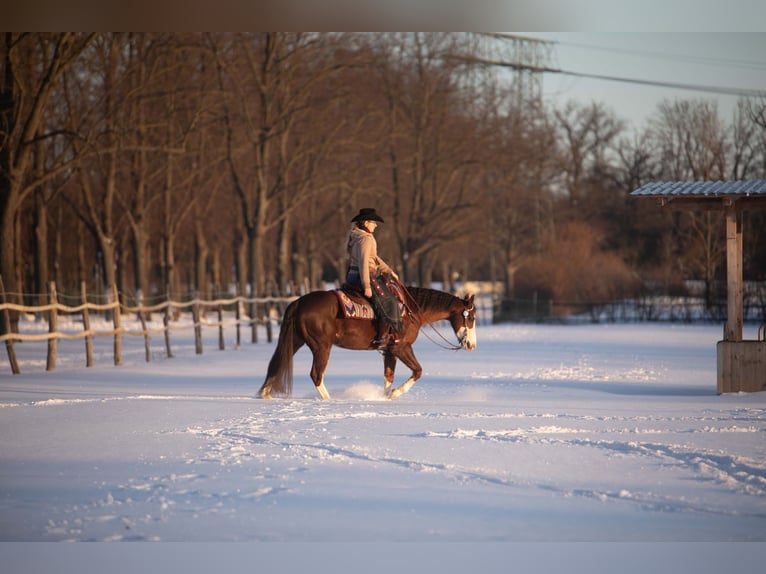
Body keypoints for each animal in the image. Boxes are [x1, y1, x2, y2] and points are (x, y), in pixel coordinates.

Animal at [258, 285, 477, 400]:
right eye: (471, 318)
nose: (471, 346)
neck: (410, 310)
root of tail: (299, 302)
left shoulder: (389, 351)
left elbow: (388, 376)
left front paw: (385, 396)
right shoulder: (401, 347)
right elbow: (418, 371)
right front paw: (395, 394)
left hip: (296, 341)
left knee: (278, 363)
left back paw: (265, 394)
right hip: (321, 347)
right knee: (316, 374)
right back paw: (329, 399)